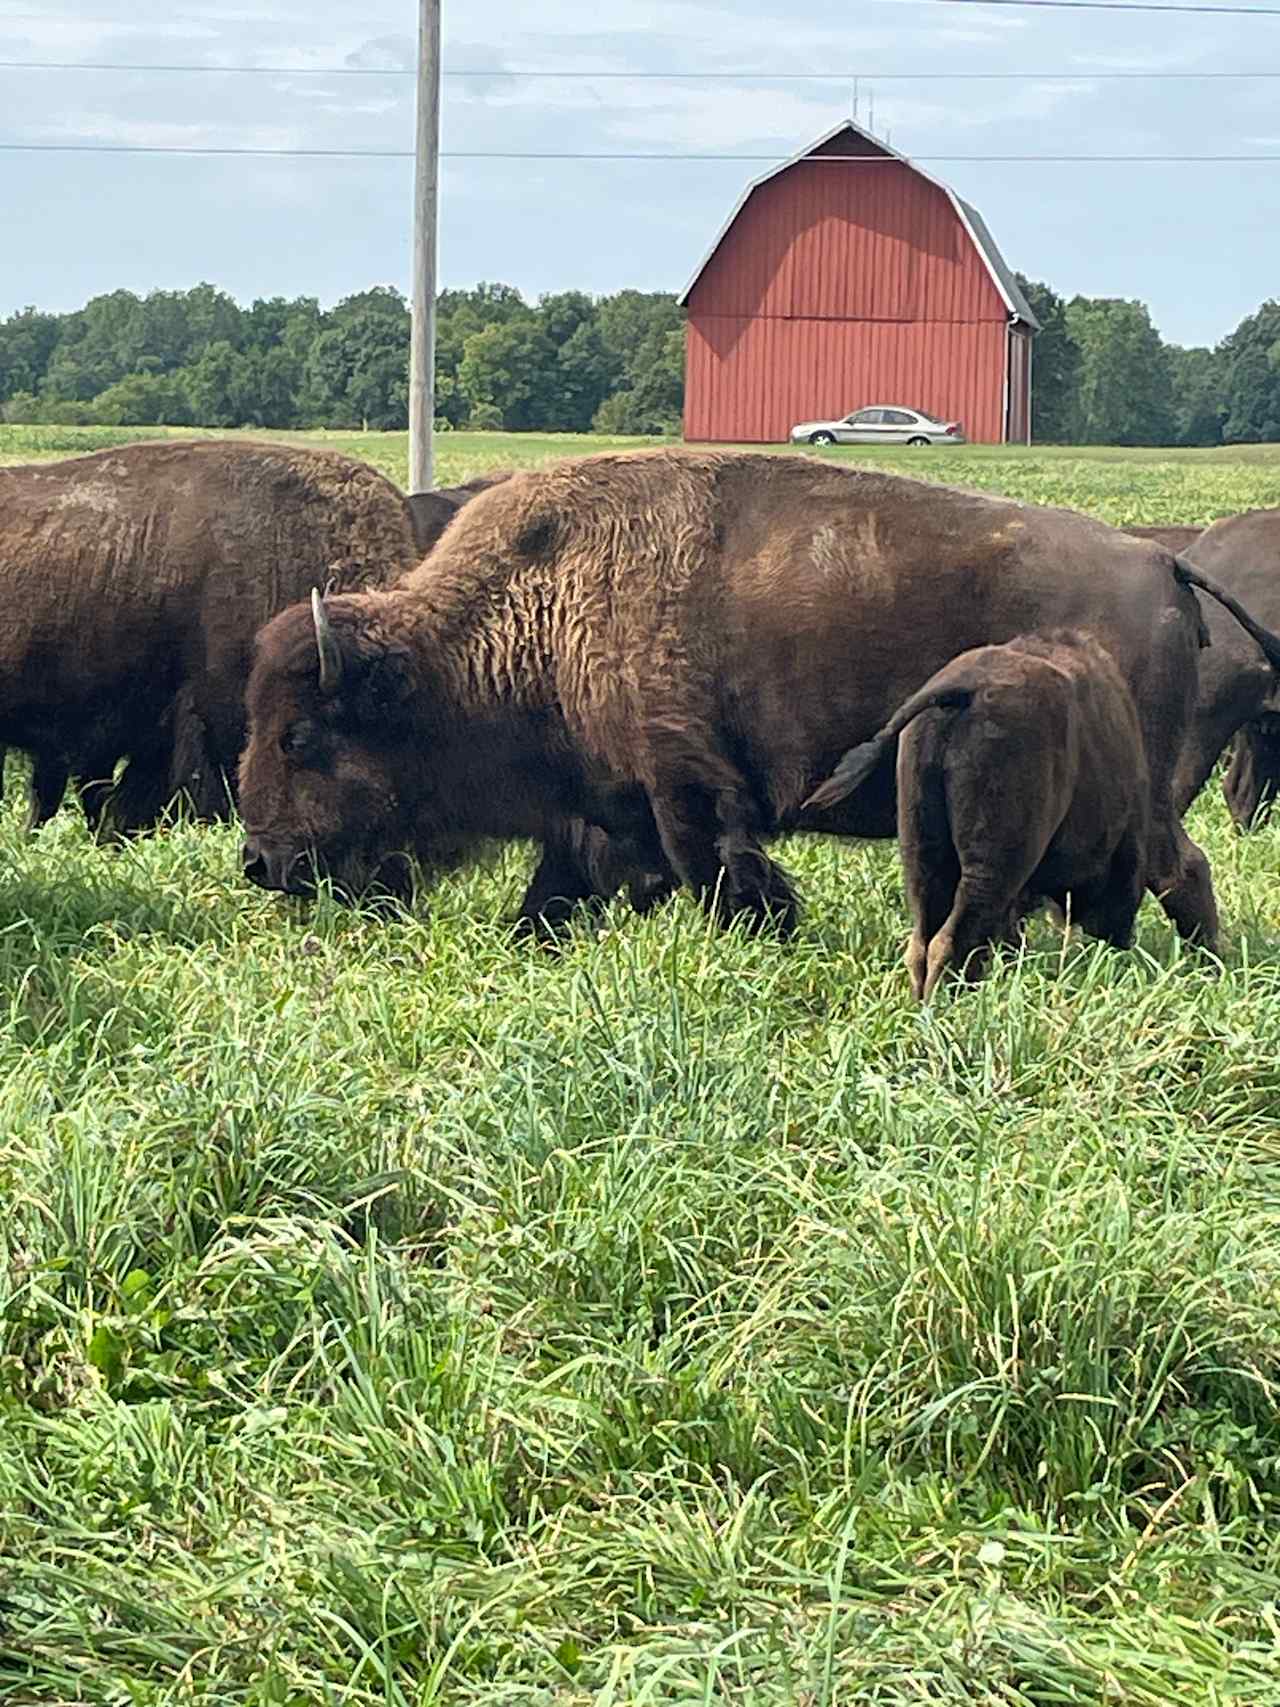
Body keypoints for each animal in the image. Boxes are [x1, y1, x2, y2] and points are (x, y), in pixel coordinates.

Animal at [238, 454, 1280, 955]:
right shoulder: (603, 811)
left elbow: (724, 878)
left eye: (300, 736)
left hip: (1133, 797)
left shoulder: (685, 787)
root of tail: (1160, 563)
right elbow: (562, 892)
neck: (533, 605)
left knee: (1179, 870)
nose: (260, 861)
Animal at [802, 635, 1153, 996]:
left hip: (923, 857)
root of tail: (963, 689)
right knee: (954, 939)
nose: (1122, 940)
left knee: (924, 941)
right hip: (988, 869)